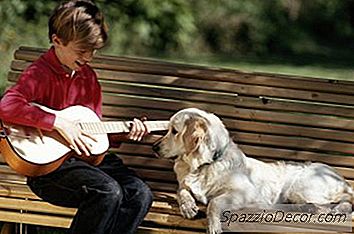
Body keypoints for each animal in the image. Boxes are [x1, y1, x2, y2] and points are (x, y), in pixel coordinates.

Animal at [153, 108, 352, 234]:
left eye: (174, 131)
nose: (154, 147)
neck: (204, 165)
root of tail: (339, 176)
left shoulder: (244, 192)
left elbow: (214, 203)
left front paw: (214, 226)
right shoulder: (185, 185)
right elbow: (181, 191)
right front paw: (188, 207)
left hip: (301, 188)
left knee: (344, 201)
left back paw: (332, 210)